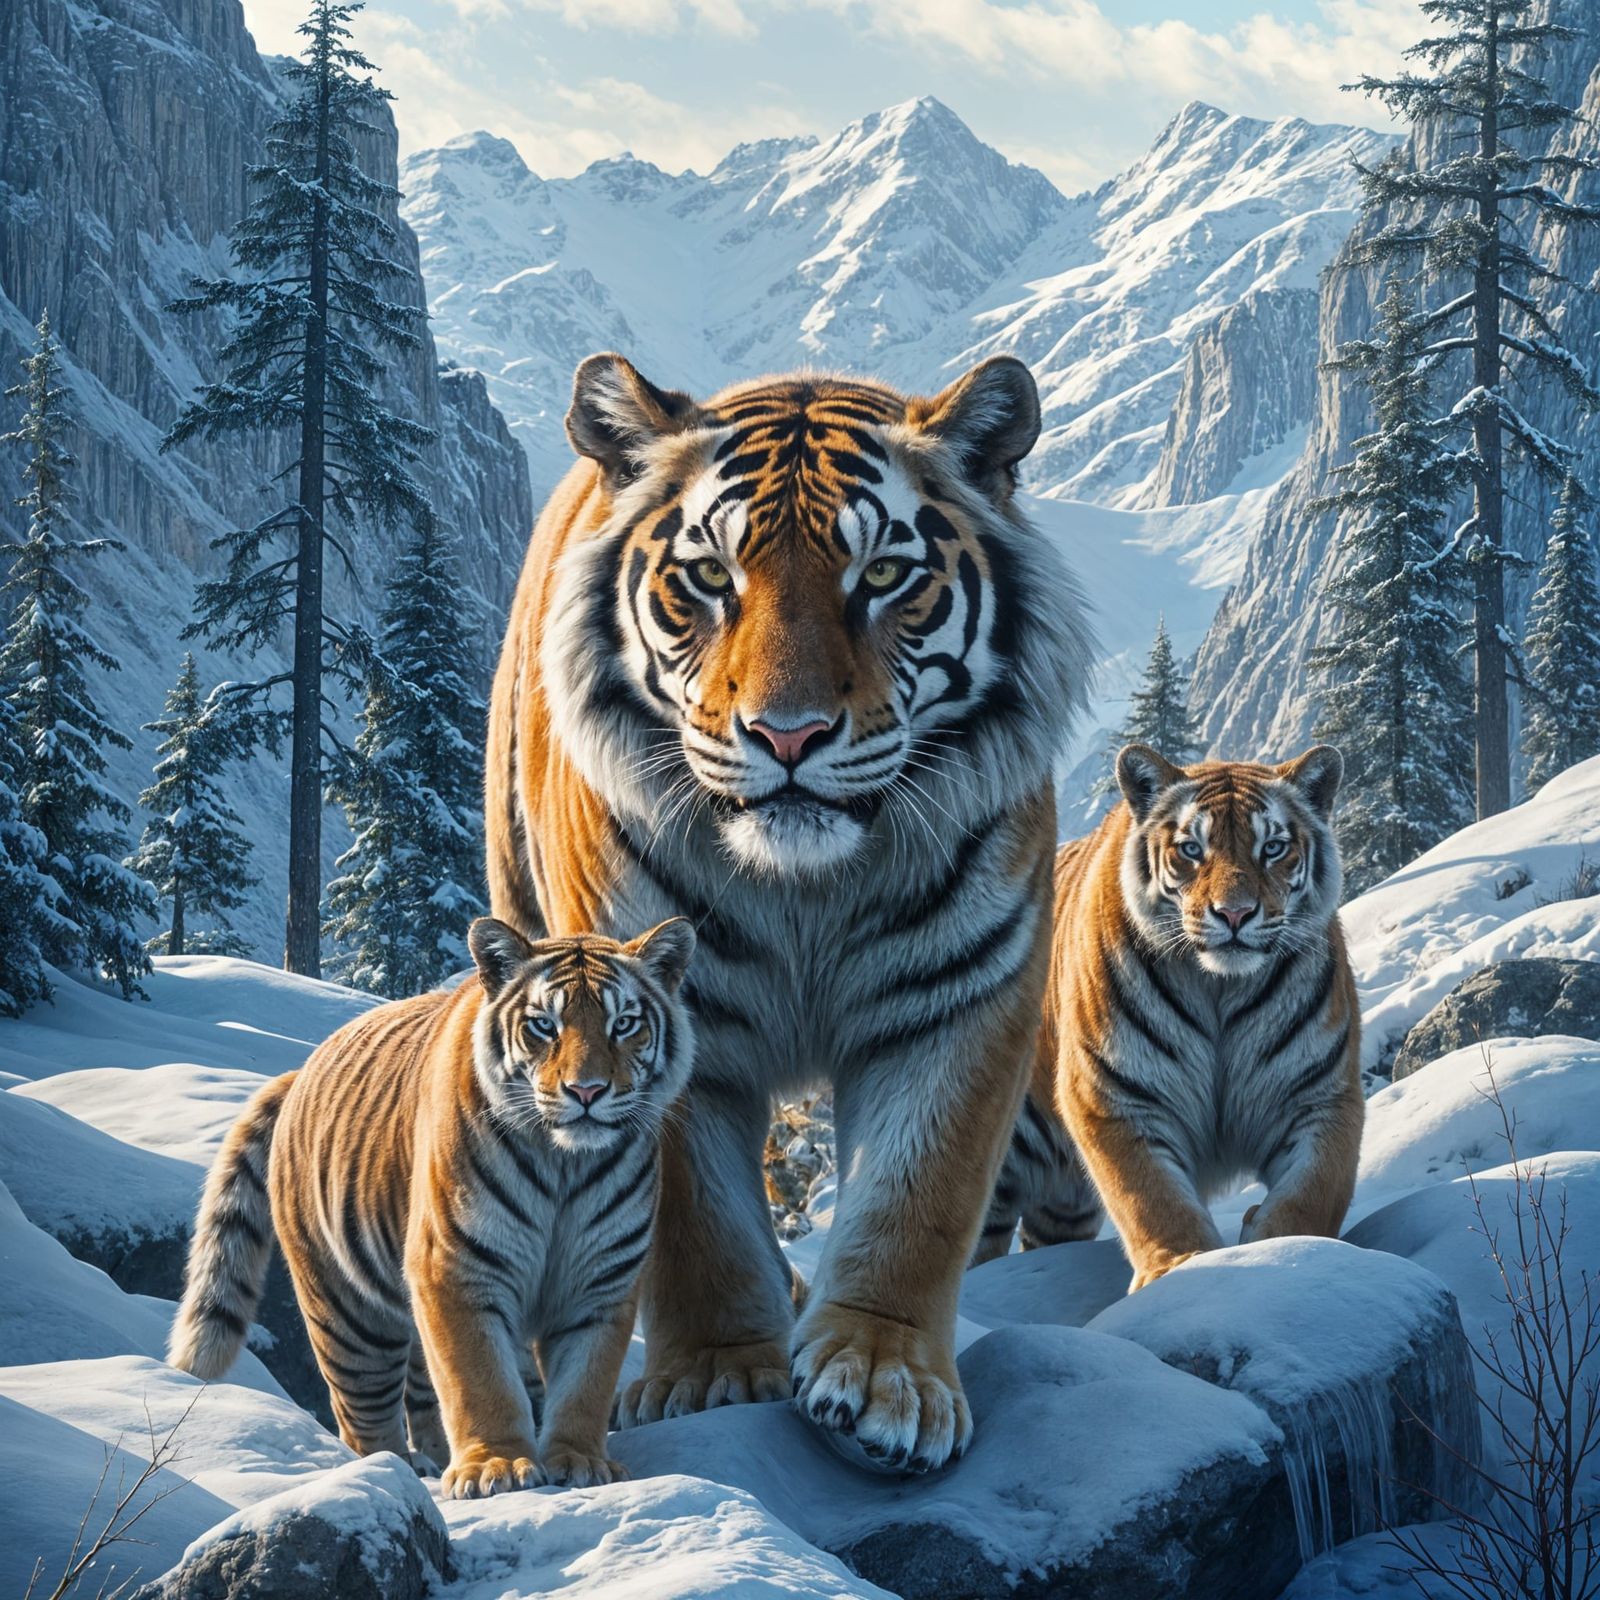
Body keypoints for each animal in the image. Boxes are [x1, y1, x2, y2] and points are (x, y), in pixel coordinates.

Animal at [167, 916, 695, 1499]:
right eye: (543, 1025)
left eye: (624, 1024)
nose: (586, 1091)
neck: (565, 1164)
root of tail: (299, 1071)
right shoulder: (455, 1268)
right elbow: (478, 1379)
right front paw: (496, 1466)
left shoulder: (602, 1278)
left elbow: (586, 1381)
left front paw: (580, 1462)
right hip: (350, 1317)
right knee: (364, 1417)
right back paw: (395, 1472)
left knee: (422, 1396)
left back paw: (439, 1460)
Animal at [484, 352, 1091, 1472]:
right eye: (710, 578)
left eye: (883, 577)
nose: (789, 735)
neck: (805, 889)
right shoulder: (659, 1011)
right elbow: (698, 1221)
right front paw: (719, 1373)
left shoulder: (959, 997)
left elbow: (919, 1197)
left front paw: (884, 1379)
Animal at [974, 744, 1364, 1291]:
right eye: (1191, 849)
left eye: (1272, 848)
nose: (1235, 914)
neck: (1220, 987)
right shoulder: (1115, 1096)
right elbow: (1149, 1197)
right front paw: (1179, 1267)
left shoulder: (1319, 1095)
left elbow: (1316, 1191)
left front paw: (1283, 1244)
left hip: (1063, 1204)